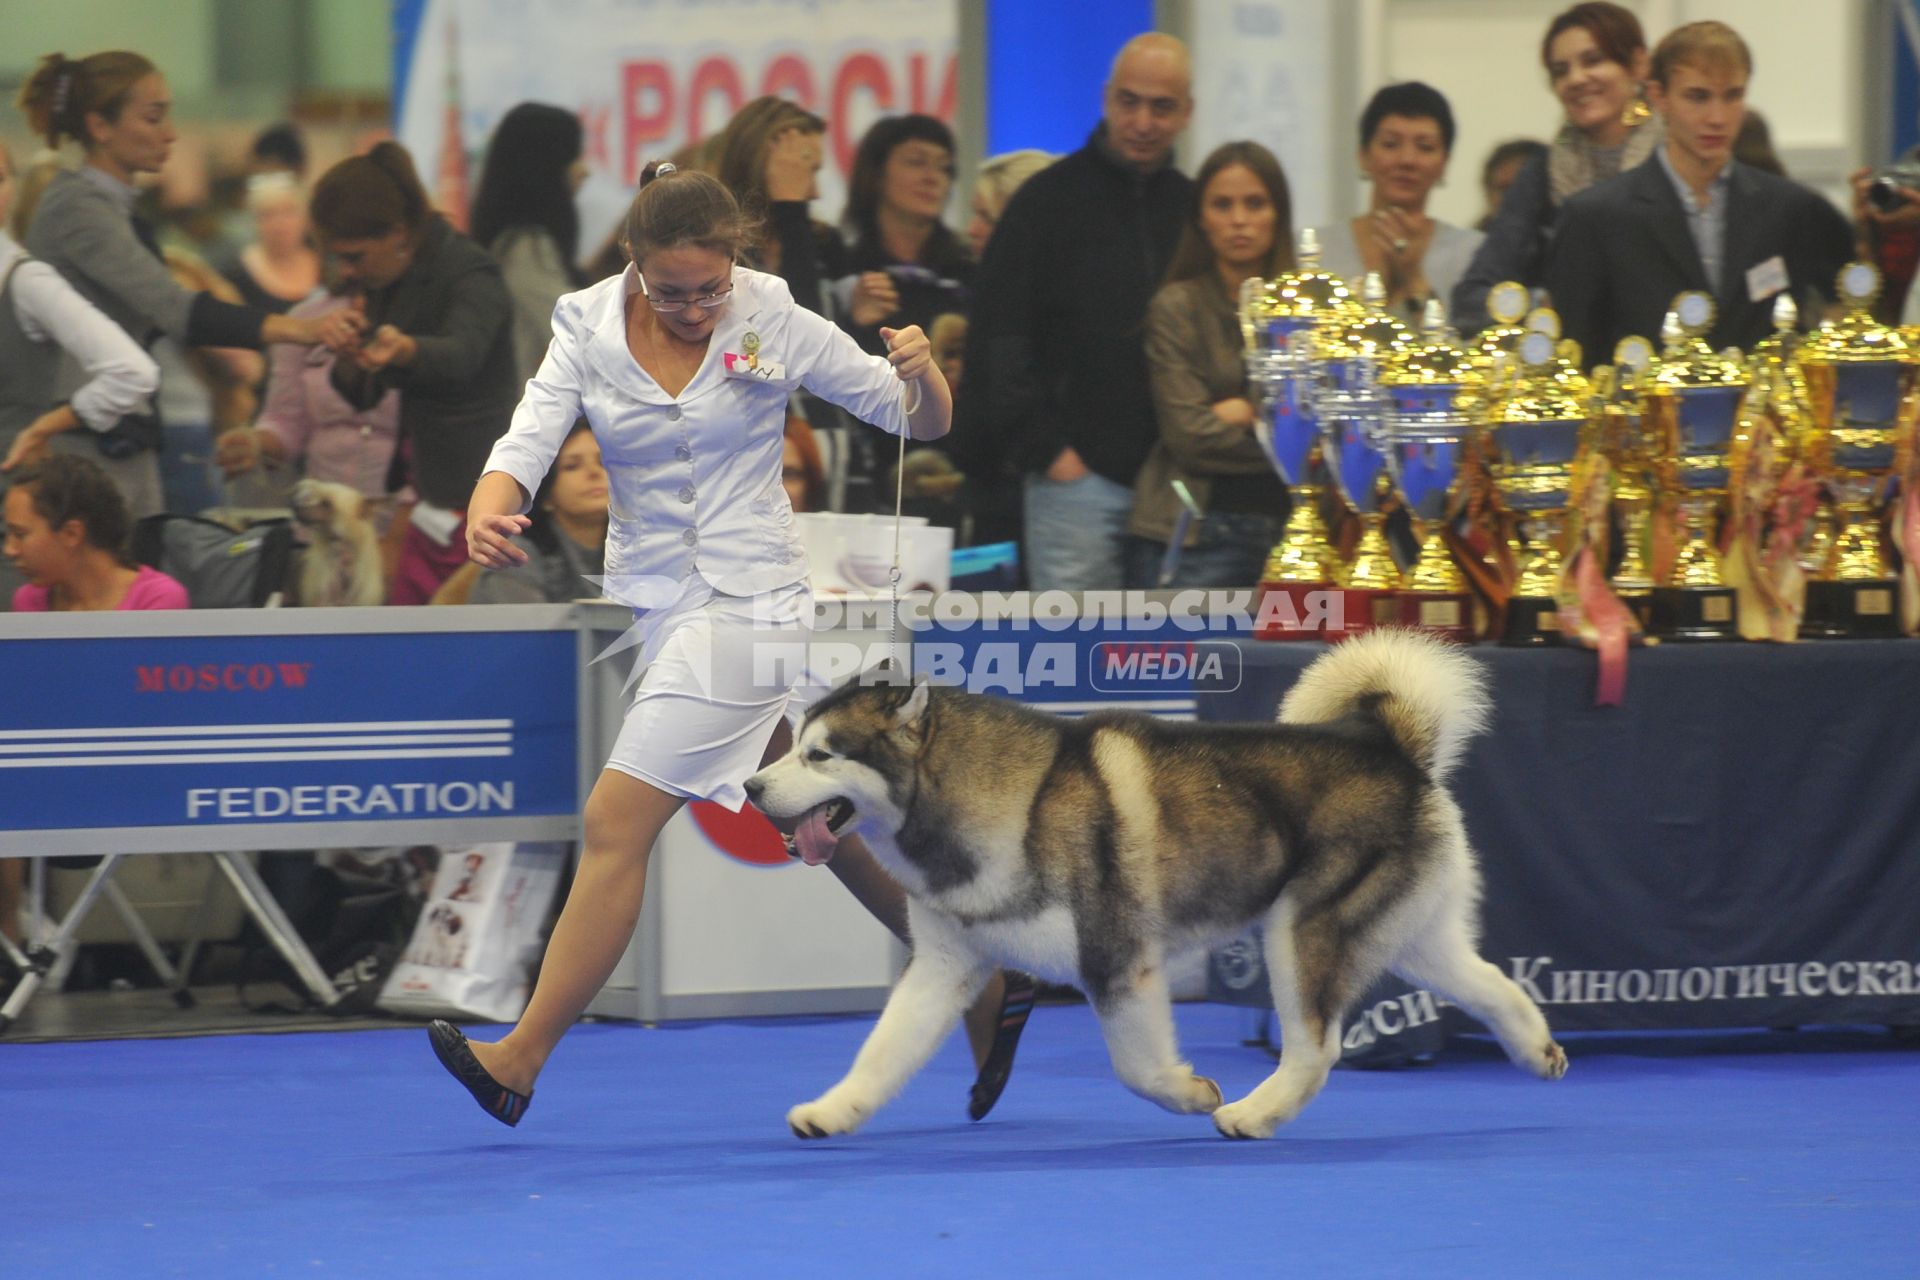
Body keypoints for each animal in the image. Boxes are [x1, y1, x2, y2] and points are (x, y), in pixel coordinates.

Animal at [741, 629, 1566, 1143]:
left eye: (820, 755)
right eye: (795, 744)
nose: (750, 786)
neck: (1007, 803)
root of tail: (1388, 743)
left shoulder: (1115, 958)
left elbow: (1136, 1068)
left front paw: (1190, 1093)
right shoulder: (943, 965)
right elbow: (881, 1052)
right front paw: (832, 1112)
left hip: (1302, 930)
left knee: (1316, 1046)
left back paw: (1251, 1115)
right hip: (1411, 932)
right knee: (1492, 982)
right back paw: (1538, 1051)